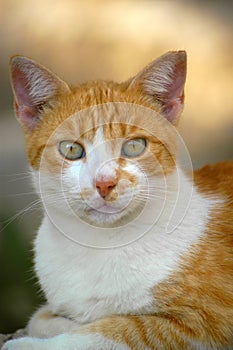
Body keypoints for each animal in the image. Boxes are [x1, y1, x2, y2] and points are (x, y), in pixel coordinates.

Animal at [2, 50, 233, 350]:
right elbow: (41, 318)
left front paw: (30, 344)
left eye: (134, 146)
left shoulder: (206, 320)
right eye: (71, 149)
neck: (98, 243)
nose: (104, 182)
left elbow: (117, 329)